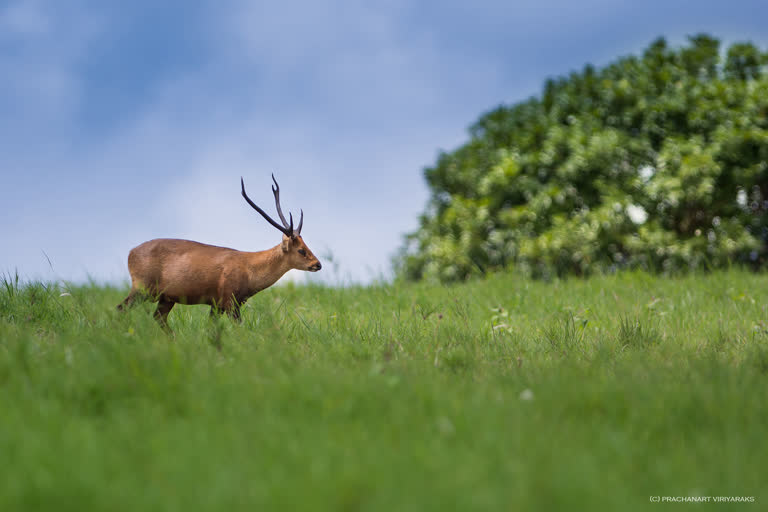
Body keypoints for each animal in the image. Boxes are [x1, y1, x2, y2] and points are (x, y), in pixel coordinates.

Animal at [118, 176, 322, 328]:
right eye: (302, 250)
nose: (318, 264)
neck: (250, 270)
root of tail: (130, 253)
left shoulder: (220, 304)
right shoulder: (229, 300)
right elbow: (239, 328)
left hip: (166, 297)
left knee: (158, 318)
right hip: (142, 287)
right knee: (121, 308)